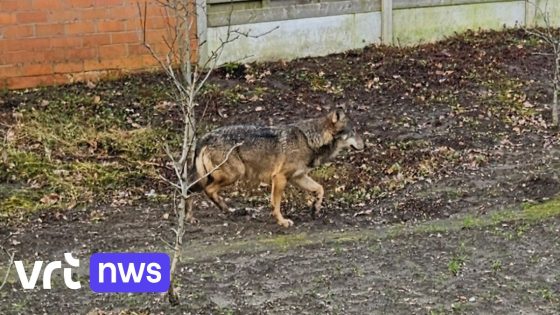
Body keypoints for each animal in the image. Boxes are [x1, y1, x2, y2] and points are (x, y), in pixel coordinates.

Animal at [189, 110, 364, 227]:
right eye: (353, 132)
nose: (365, 145)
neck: (309, 140)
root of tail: (204, 137)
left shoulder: (298, 177)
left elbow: (320, 189)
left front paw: (315, 209)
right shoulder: (280, 178)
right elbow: (276, 204)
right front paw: (282, 221)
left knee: (191, 191)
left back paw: (200, 216)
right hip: (234, 174)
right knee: (207, 190)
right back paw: (225, 210)